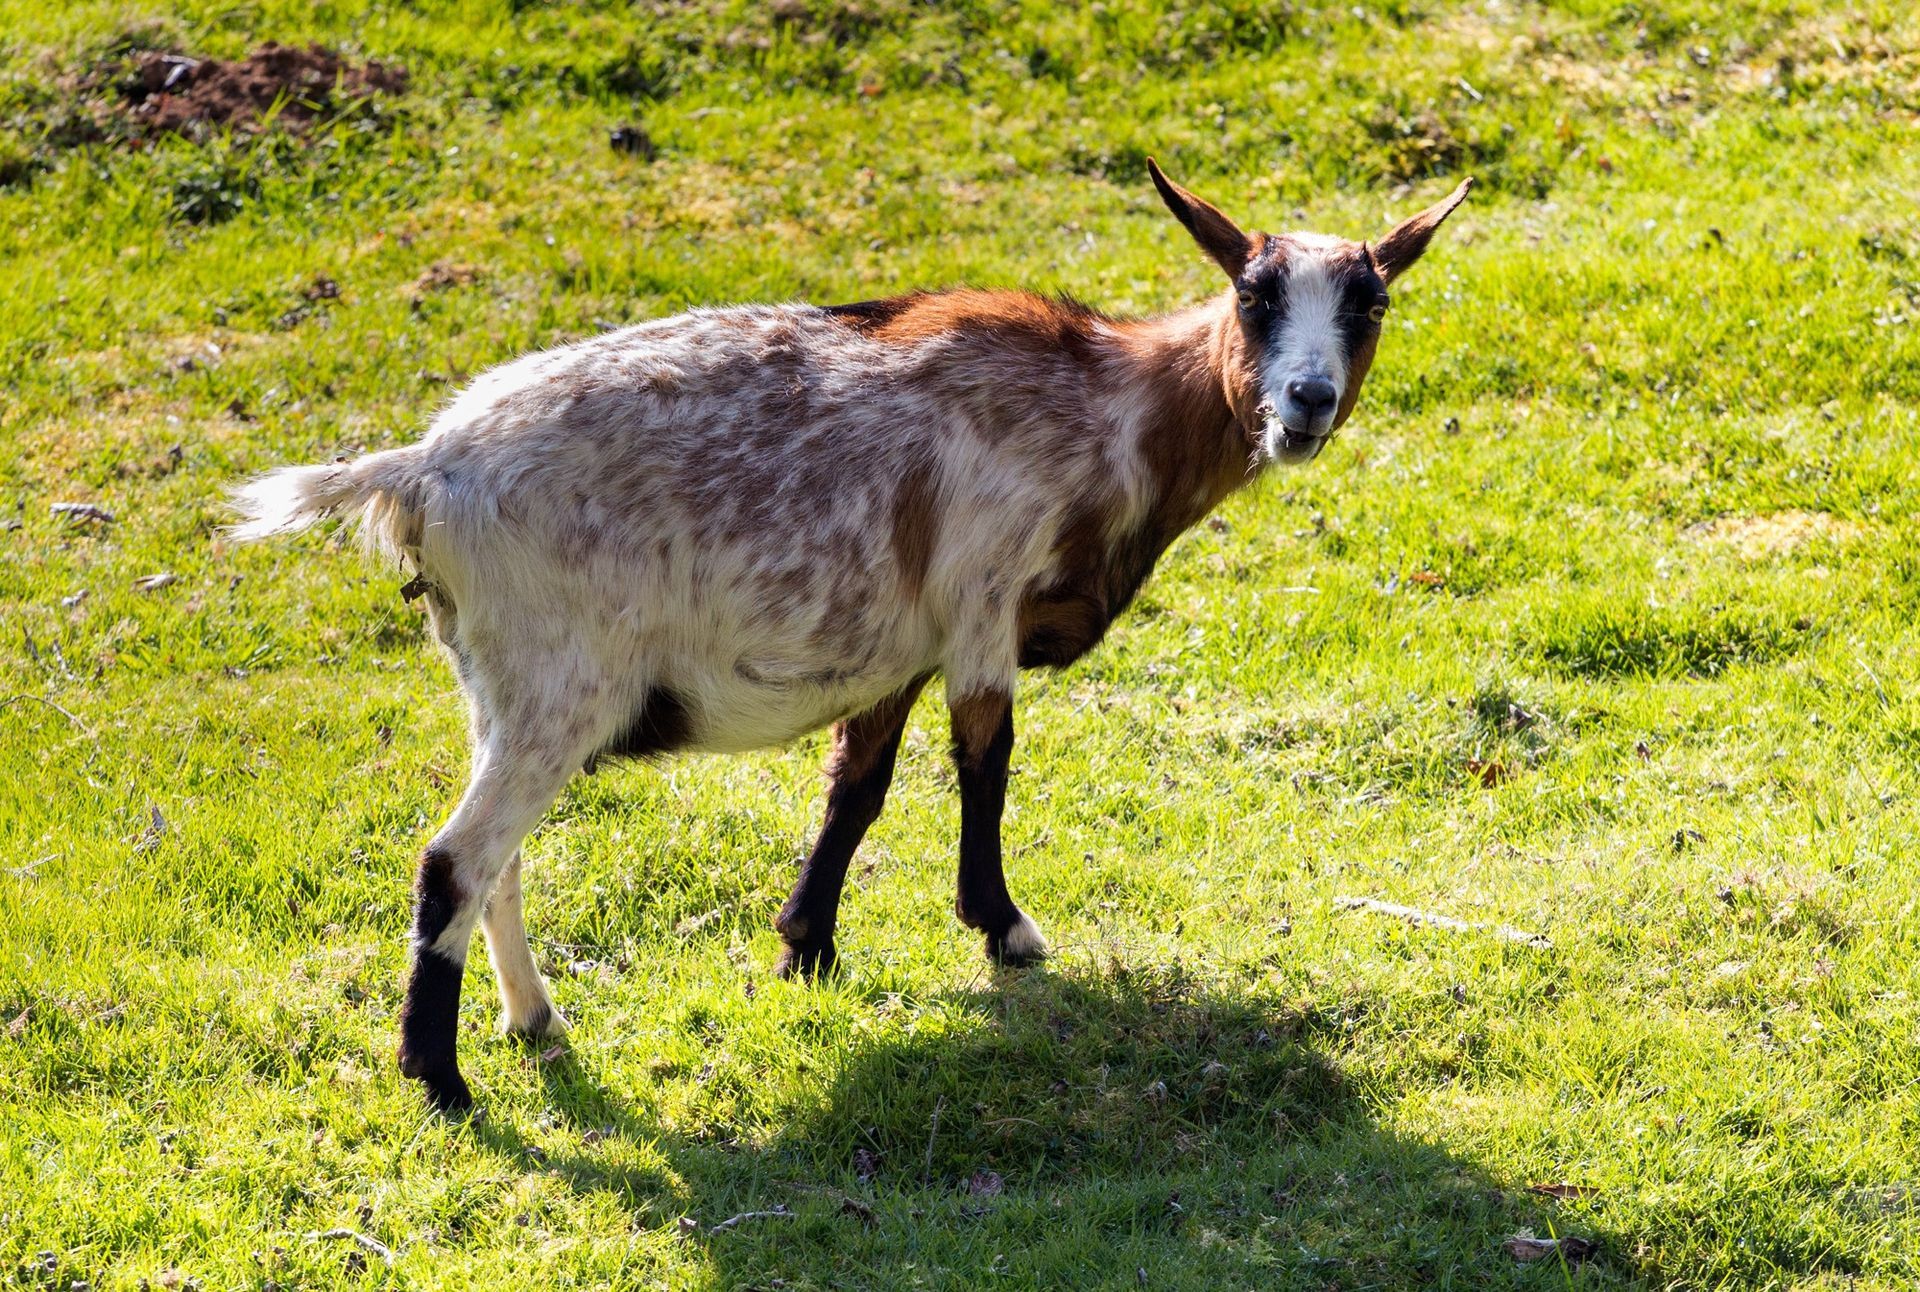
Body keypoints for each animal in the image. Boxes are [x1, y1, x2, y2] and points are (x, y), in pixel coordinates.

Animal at [233, 162, 1471, 1112]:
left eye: (1368, 305)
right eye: (1254, 295)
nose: (1305, 402)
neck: (1107, 406)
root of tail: (421, 471)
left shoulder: (894, 643)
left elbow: (857, 786)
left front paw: (806, 943)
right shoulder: (981, 597)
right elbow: (985, 759)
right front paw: (1003, 927)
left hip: (499, 685)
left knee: (498, 862)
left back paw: (533, 1018)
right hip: (559, 683)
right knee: (454, 856)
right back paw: (440, 1079)